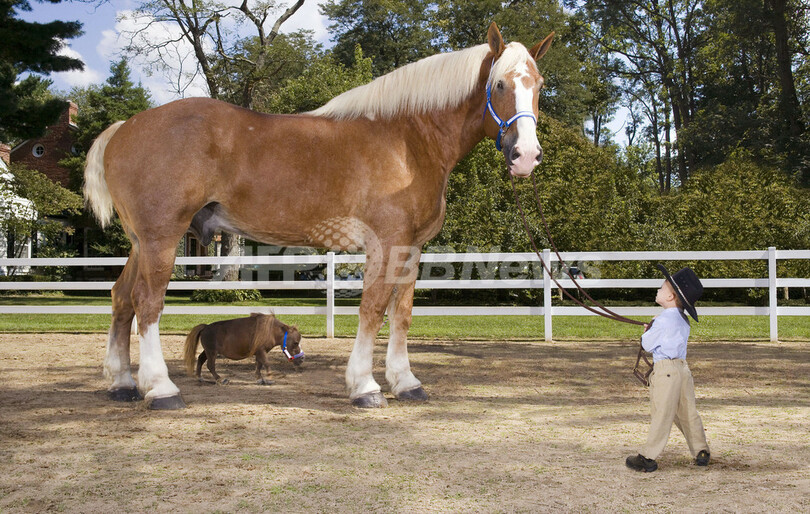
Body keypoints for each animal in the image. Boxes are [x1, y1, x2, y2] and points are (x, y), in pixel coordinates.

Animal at [84, 22, 554, 409]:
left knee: (121, 299)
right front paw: (364, 386)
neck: (407, 140)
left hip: (140, 242)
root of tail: (124, 128)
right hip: (161, 238)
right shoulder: (385, 244)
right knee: (147, 302)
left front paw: (406, 382)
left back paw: (123, 384)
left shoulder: (412, 248)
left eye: (539, 85)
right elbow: (373, 310)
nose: (525, 156)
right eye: (498, 84)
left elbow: (401, 314)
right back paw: (161, 389)